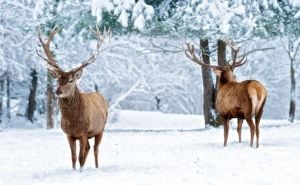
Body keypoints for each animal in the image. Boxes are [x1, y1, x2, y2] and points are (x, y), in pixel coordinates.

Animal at [37, 26, 110, 171]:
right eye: (58, 80)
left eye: (71, 80)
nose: (58, 91)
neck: (73, 122)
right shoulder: (69, 135)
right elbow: (73, 157)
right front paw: (75, 170)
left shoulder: (83, 132)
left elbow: (81, 156)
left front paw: (81, 172)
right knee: (88, 148)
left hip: (100, 129)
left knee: (95, 149)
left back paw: (97, 168)